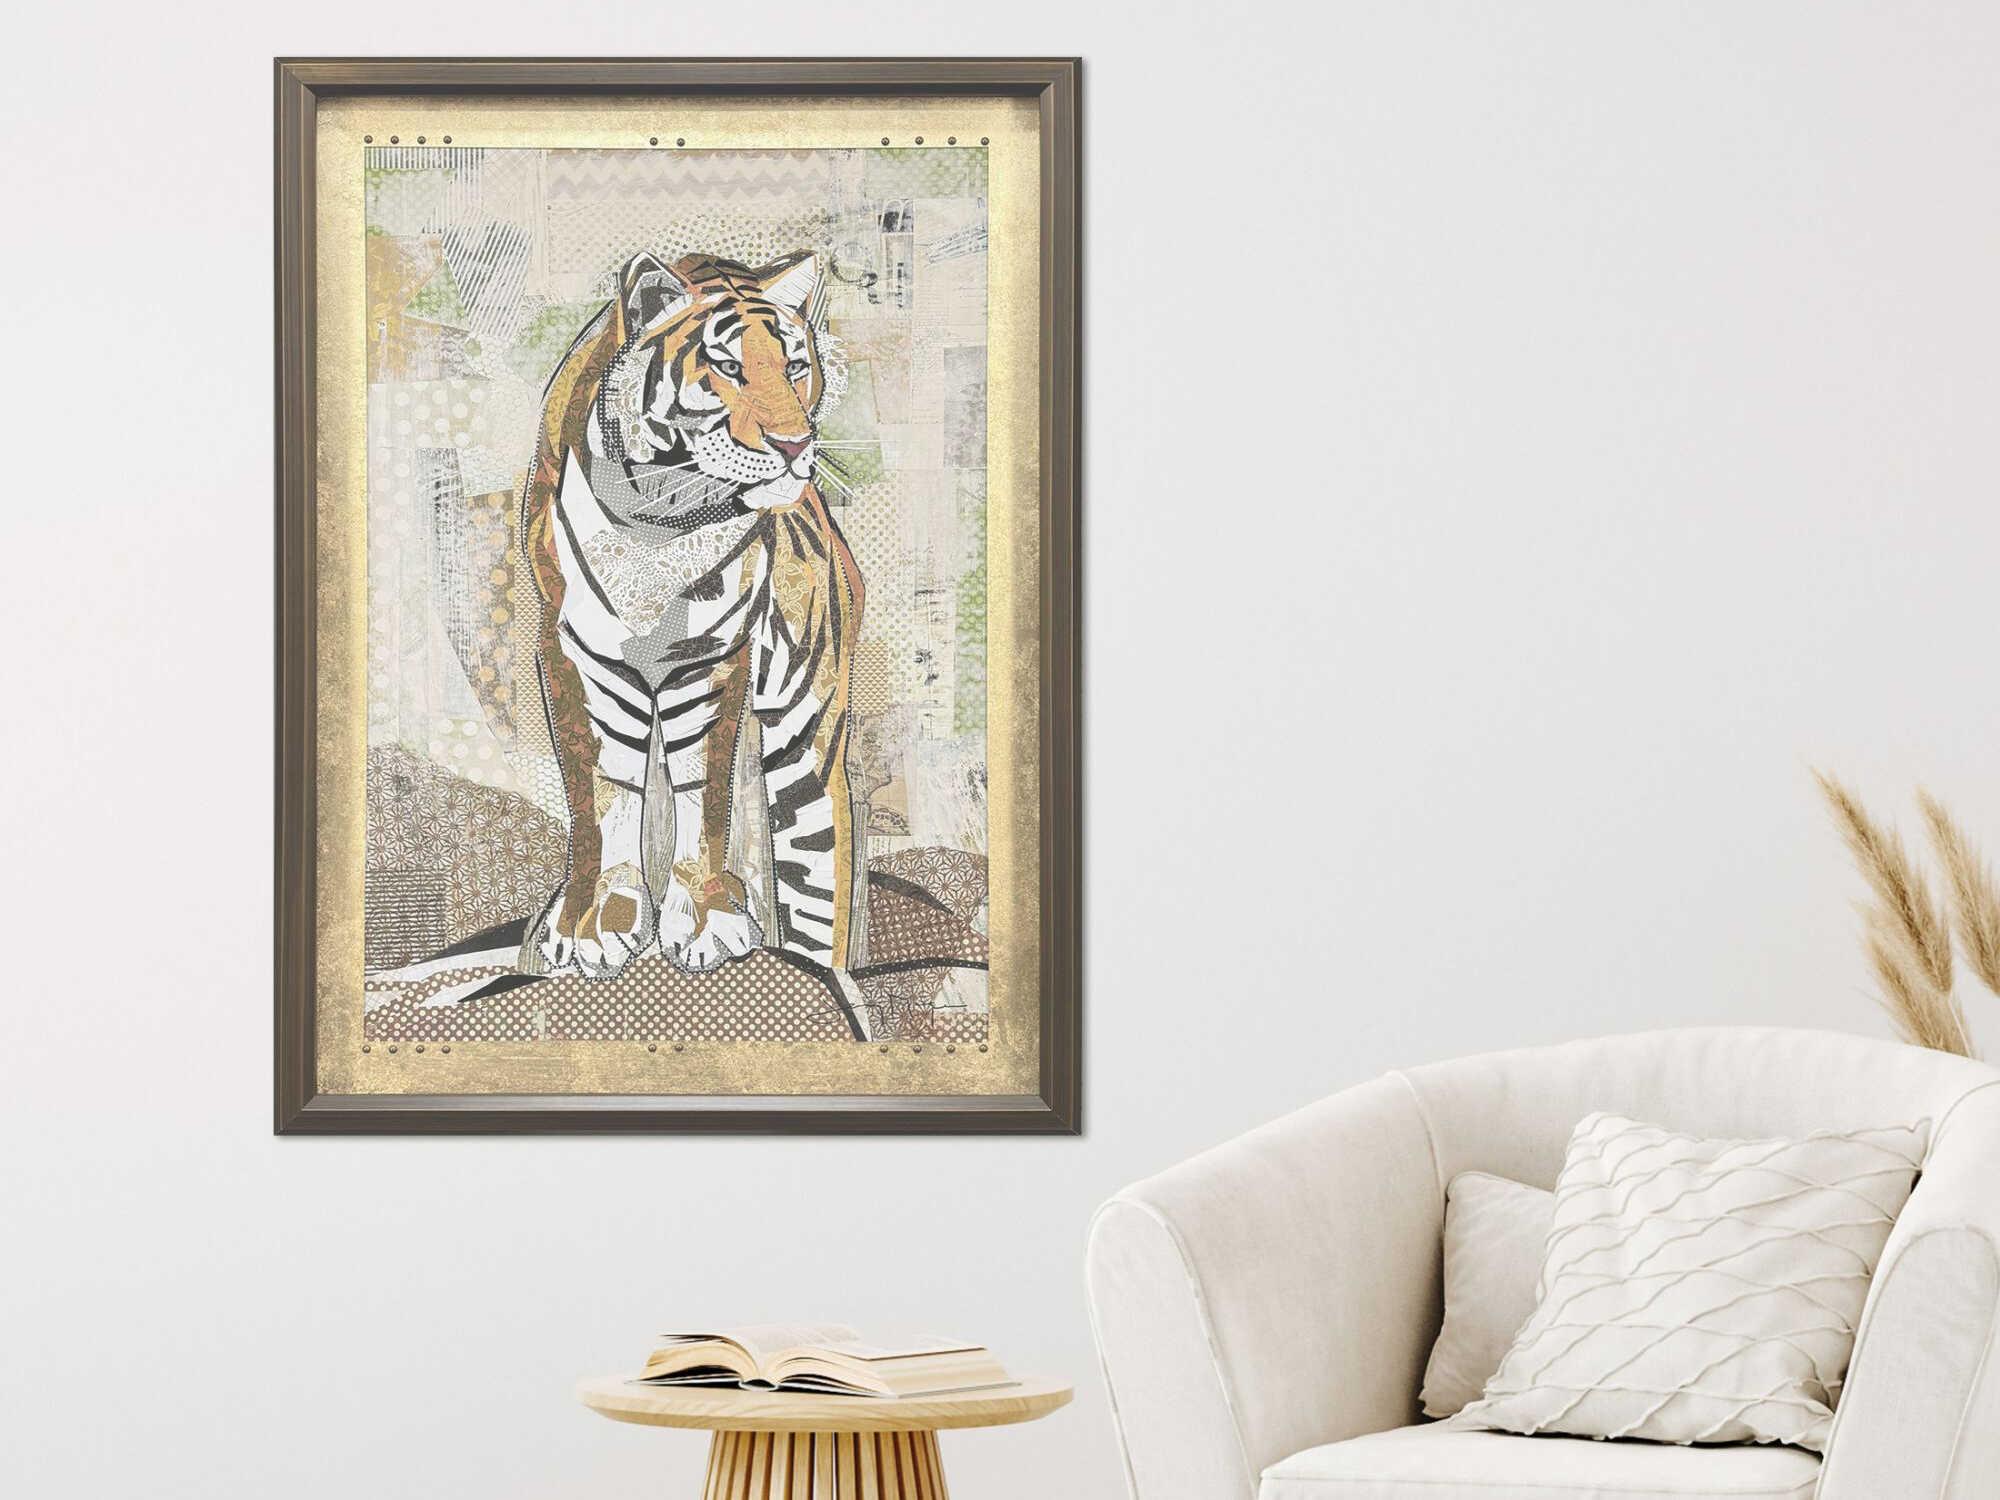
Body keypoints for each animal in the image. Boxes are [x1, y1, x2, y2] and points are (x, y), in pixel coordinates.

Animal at [519, 249, 864, 985]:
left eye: (795, 365)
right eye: (728, 367)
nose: (795, 445)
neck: (659, 522)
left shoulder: (711, 658)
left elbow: (702, 796)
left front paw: (706, 921)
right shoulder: (575, 651)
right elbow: (601, 796)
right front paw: (593, 922)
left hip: (807, 742)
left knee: (815, 875)